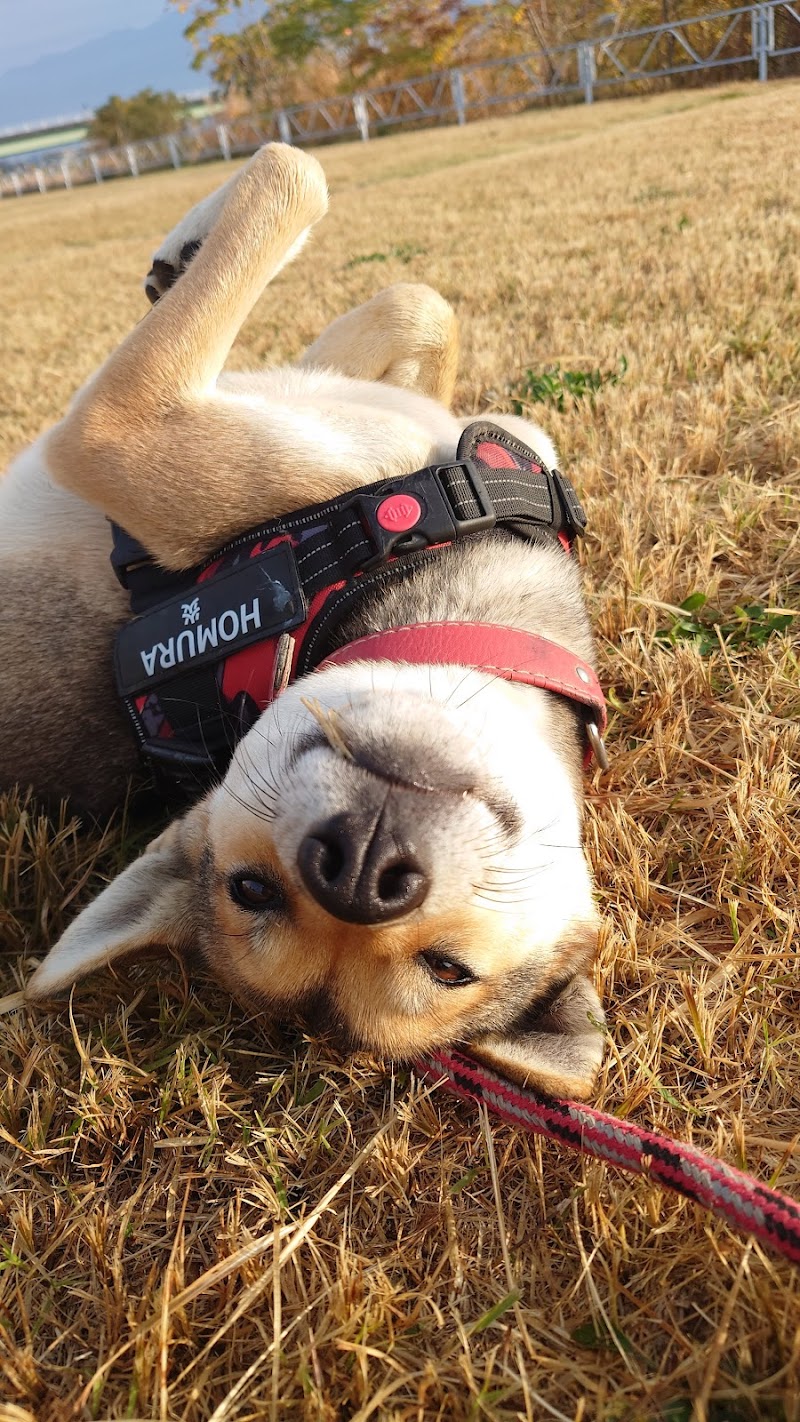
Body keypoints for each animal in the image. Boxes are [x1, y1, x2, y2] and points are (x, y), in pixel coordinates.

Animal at [1, 144, 608, 1092]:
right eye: (251, 890)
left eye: (447, 969)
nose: (360, 874)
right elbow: (408, 300)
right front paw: (181, 255)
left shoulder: (114, 428)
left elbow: (292, 179)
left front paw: (194, 247)